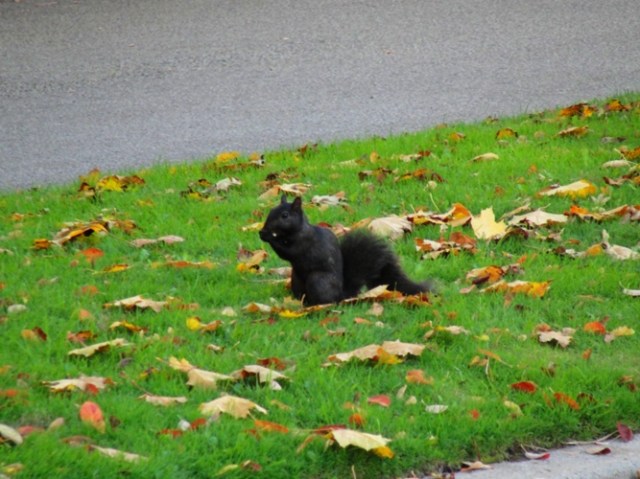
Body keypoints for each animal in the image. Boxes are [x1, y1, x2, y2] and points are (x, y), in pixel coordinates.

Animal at [259, 195, 434, 306]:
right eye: (271, 211)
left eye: (285, 215)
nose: (265, 228)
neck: (296, 231)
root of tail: (342, 295)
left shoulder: (304, 242)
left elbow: (287, 252)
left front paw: (268, 236)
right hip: (296, 280)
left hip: (318, 280)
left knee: (325, 301)